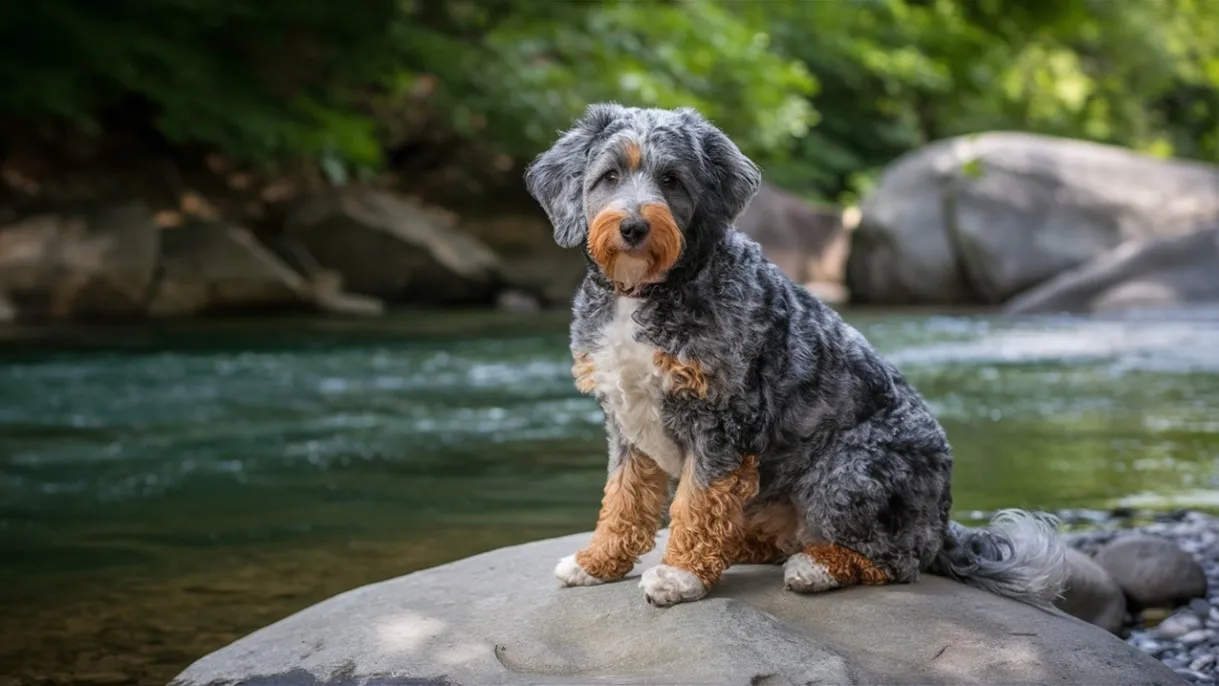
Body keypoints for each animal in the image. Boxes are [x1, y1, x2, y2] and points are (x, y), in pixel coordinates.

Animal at [524, 101, 1067, 606]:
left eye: (671, 179)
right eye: (610, 176)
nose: (634, 227)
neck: (646, 291)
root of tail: (943, 519)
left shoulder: (721, 422)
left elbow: (696, 503)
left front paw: (680, 575)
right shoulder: (627, 423)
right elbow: (623, 501)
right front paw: (597, 562)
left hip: (847, 471)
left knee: (894, 560)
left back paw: (814, 567)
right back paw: (741, 548)